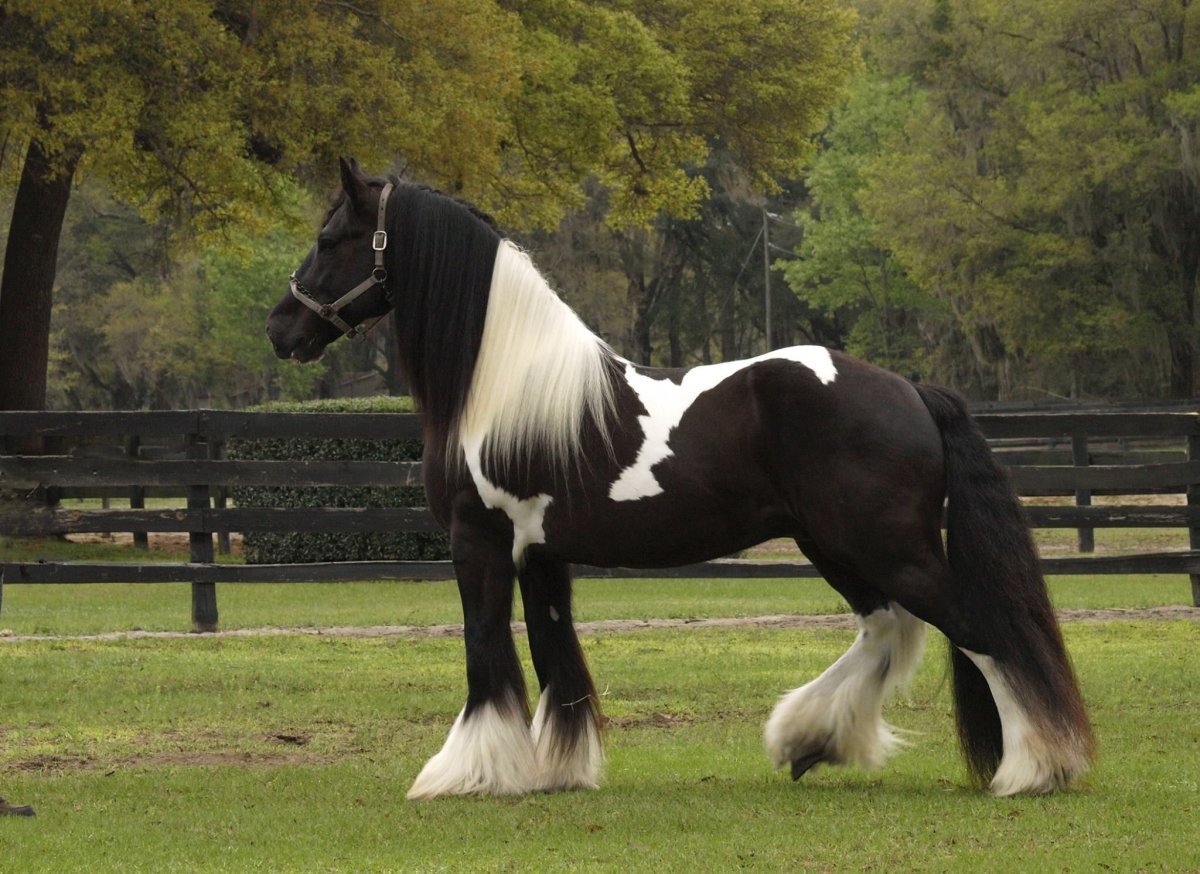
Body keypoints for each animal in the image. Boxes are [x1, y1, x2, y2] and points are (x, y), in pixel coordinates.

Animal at [267, 158, 1094, 799]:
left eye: (331, 238)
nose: (280, 328)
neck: (508, 389)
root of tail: (911, 389)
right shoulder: (541, 555)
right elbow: (557, 659)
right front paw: (558, 771)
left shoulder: (480, 543)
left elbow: (484, 650)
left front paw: (465, 773)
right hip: (834, 543)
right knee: (888, 626)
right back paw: (809, 740)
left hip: (883, 545)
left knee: (979, 631)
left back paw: (1031, 769)